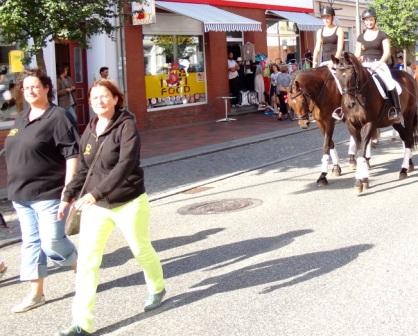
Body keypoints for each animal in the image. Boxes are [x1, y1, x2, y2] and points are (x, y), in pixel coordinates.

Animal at [332, 52, 416, 193]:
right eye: (337, 76)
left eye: (352, 75)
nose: (349, 104)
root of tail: (409, 76)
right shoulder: (352, 125)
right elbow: (360, 150)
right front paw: (364, 180)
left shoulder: (369, 123)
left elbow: (361, 151)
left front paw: (359, 182)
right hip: (397, 123)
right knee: (406, 140)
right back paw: (407, 167)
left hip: (409, 117)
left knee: (409, 140)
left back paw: (403, 170)